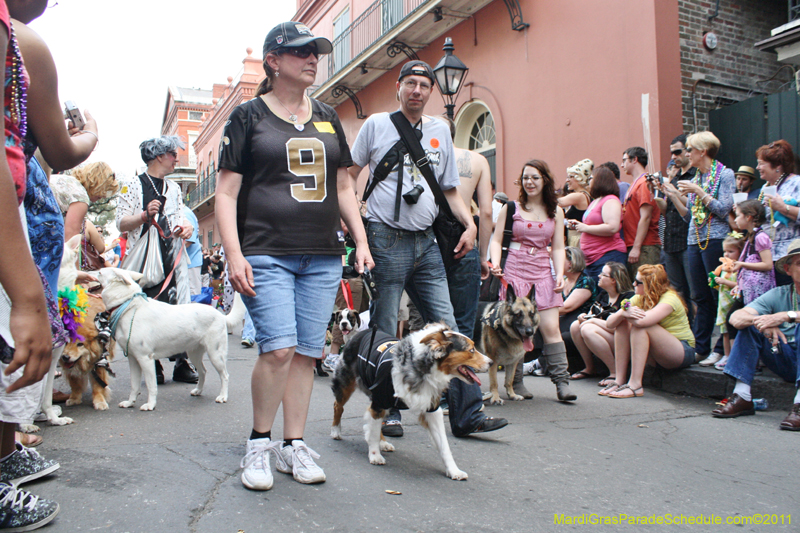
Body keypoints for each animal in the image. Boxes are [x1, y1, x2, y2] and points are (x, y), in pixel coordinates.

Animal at [96, 268, 233, 410]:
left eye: (100, 272)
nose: (90, 270)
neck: (129, 306)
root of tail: (220, 315)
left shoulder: (145, 359)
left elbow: (151, 386)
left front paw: (150, 405)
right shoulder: (133, 359)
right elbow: (134, 385)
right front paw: (130, 402)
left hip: (215, 354)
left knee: (224, 375)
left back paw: (223, 396)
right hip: (194, 354)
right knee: (203, 372)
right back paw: (198, 391)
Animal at [328, 322, 490, 480]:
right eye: (471, 350)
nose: (492, 362)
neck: (422, 369)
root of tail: (361, 333)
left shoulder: (432, 409)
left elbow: (444, 445)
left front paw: (453, 470)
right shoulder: (379, 401)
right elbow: (372, 431)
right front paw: (374, 455)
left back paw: (383, 442)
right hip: (346, 383)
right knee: (338, 406)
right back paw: (336, 430)